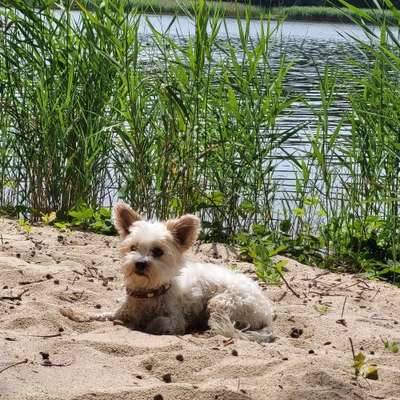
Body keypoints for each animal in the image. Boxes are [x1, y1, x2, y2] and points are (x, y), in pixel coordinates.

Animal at [61, 203, 276, 344]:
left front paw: (147, 325)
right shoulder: (122, 312)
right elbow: (99, 315)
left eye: (158, 252)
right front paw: (76, 313)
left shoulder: (175, 320)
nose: (140, 263)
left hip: (222, 302)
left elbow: (159, 323)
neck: (149, 292)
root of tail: (267, 311)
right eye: (133, 248)